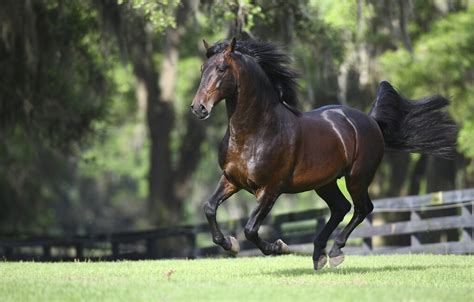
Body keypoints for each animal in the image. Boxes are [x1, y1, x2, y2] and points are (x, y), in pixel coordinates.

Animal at [190, 37, 460, 268]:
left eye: (222, 68)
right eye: (203, 68)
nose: (198, 108)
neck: (255, 133)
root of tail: (371, 121)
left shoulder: (270, 189)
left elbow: (251, 229)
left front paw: (279, 247)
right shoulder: (231, 180)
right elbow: (209, 208)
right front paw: (230, 244)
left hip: (357, 178)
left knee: (362, 209)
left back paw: (335, 251)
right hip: (325, 183)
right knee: (341, 207)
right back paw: (319, 254)